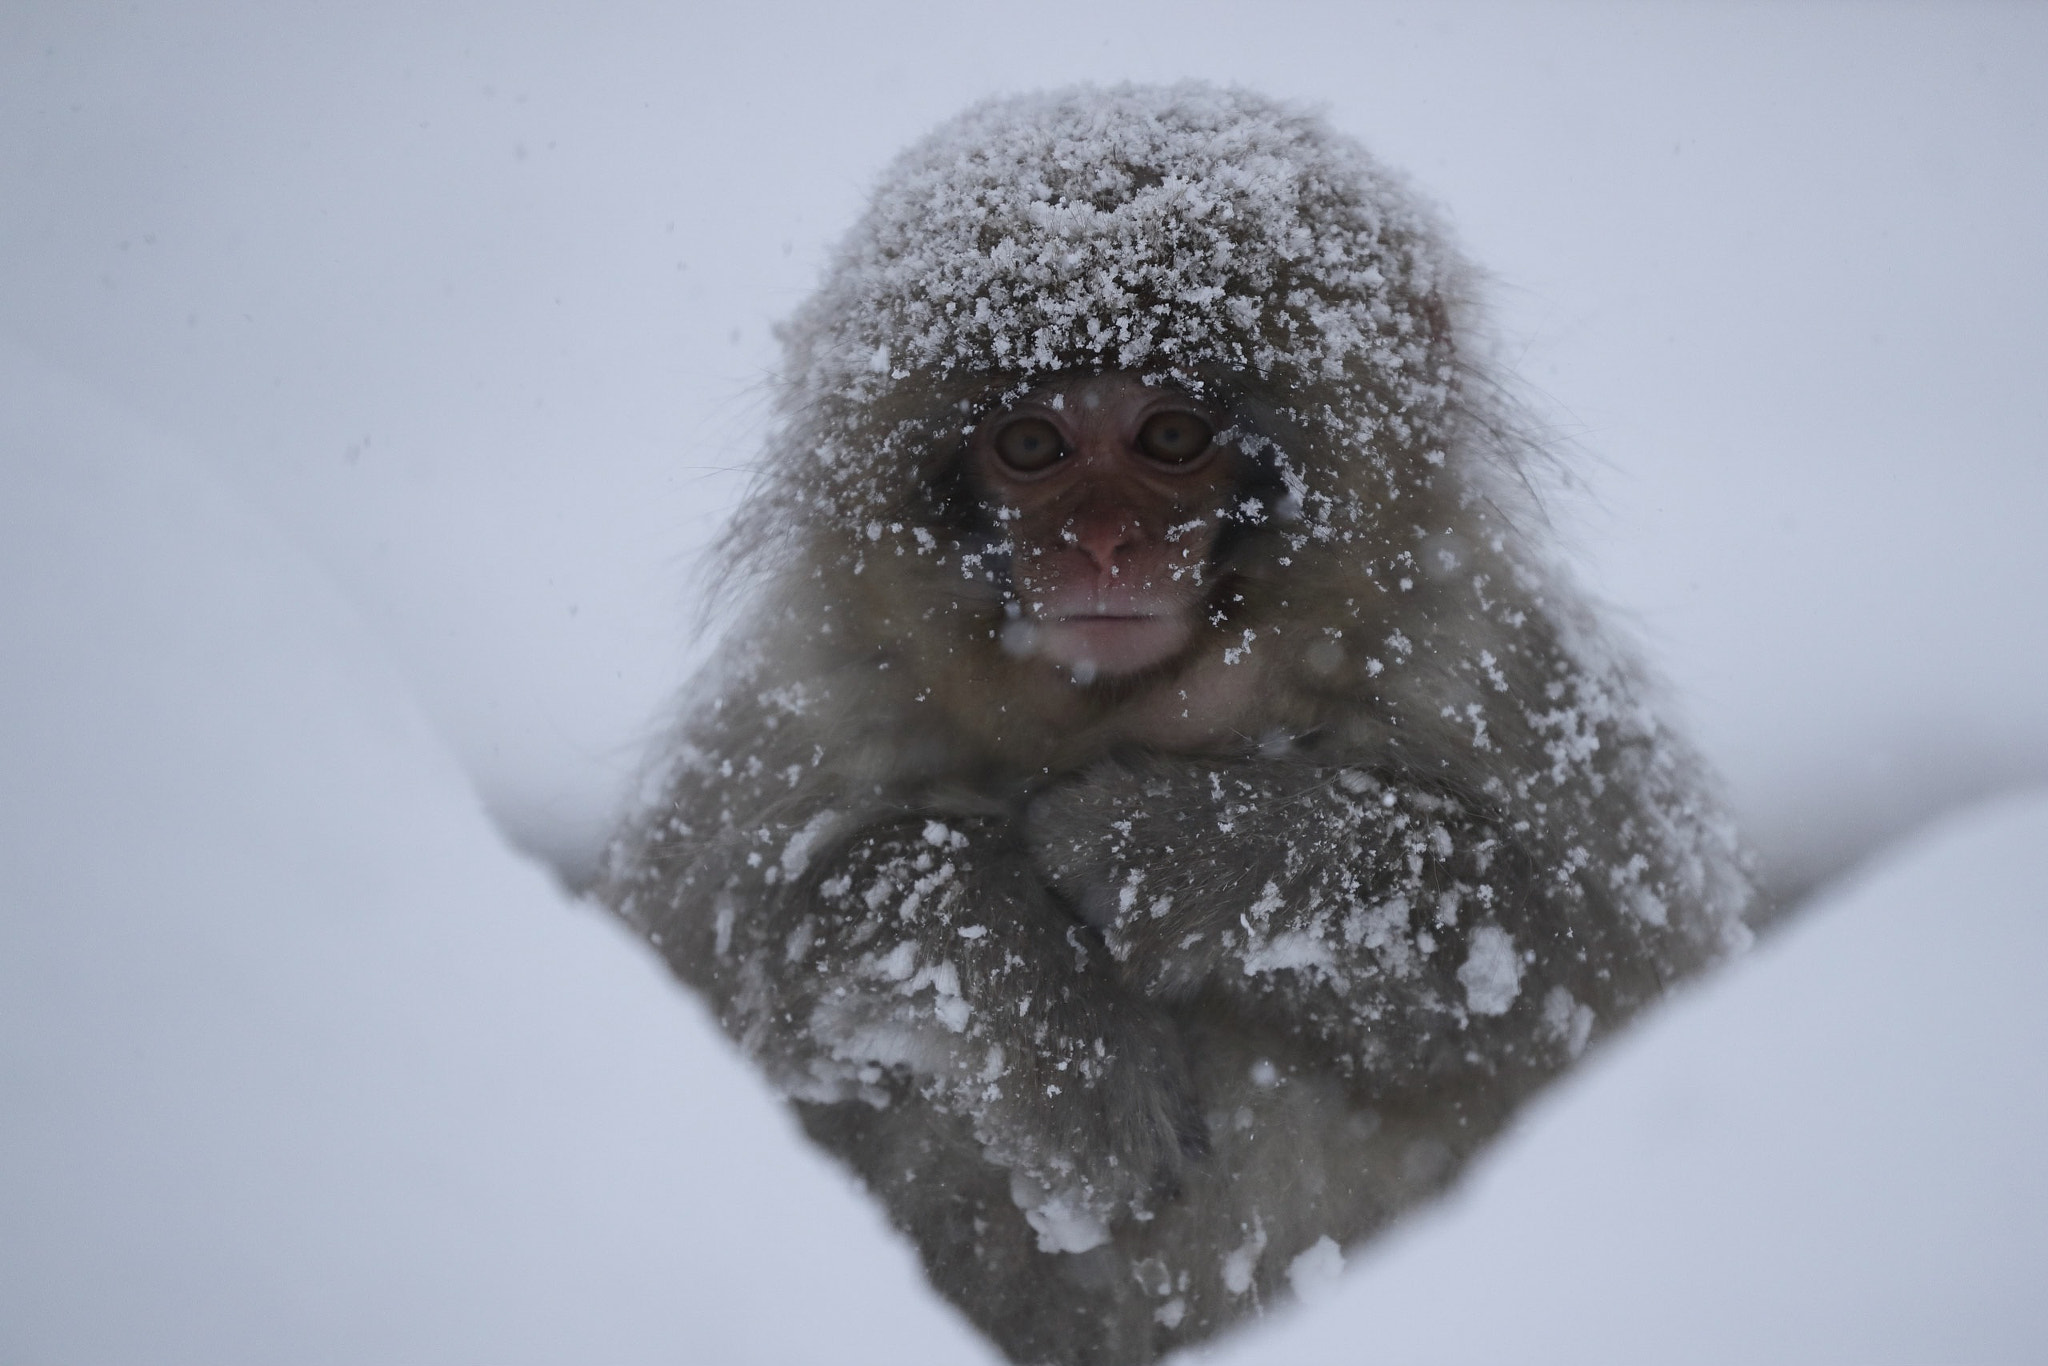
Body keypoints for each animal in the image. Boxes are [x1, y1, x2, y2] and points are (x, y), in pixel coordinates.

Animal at [600, 85, 1753, 1365]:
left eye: (1168, 435)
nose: (1101, 543)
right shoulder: (802, 716)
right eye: (1030, 443)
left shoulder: (1494, 671)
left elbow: (1577, 965)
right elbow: (735, 973)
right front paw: (1054, 1024)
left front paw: (1171, 849)